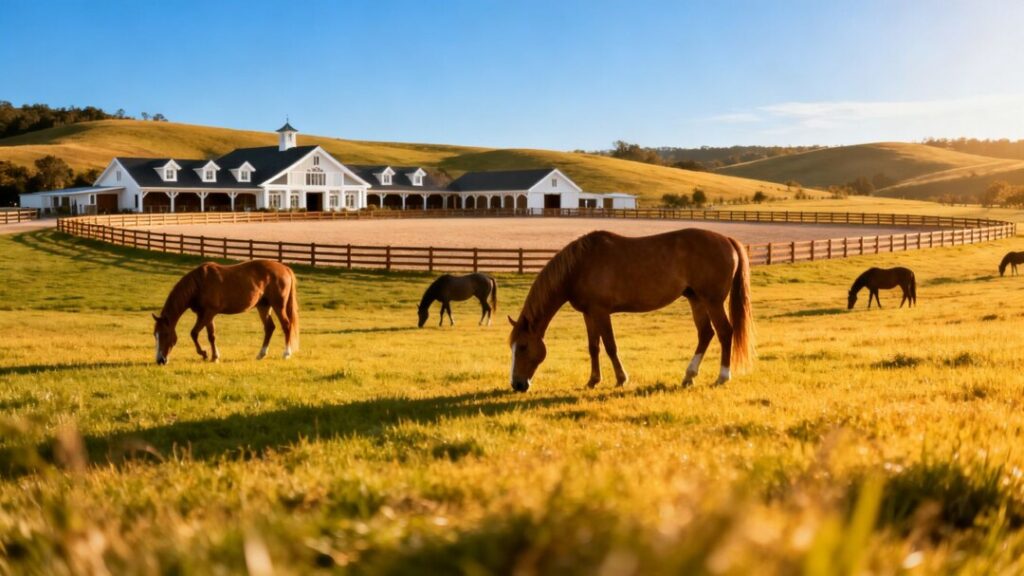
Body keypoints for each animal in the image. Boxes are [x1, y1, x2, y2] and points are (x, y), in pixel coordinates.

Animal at [152, 260, 299, 364]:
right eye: (155, 335)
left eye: (165, 334)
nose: (160, 360)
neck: (199, 284)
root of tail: (285, 269)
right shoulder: (205, 315)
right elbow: (211, 336)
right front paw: (214, 357)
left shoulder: (209, 313)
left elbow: (194, 333)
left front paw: (204, 354)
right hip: (263, 306)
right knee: (269, 328)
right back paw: (261, 354)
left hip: (278, 305)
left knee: (286, 326)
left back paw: (286, 354)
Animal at [507, 229, 754, 392]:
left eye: (523, 346)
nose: (517, 384)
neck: (579, 266)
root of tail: (727, 240)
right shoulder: (588, 314)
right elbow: (593, 347)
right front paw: (593, 380)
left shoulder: (601, 312)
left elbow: (610, 346)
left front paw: (621, 378)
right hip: (697, 299)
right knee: (706, 334)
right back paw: (689, 376)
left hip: (712, 301)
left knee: (724, 332)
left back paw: (723, 376)